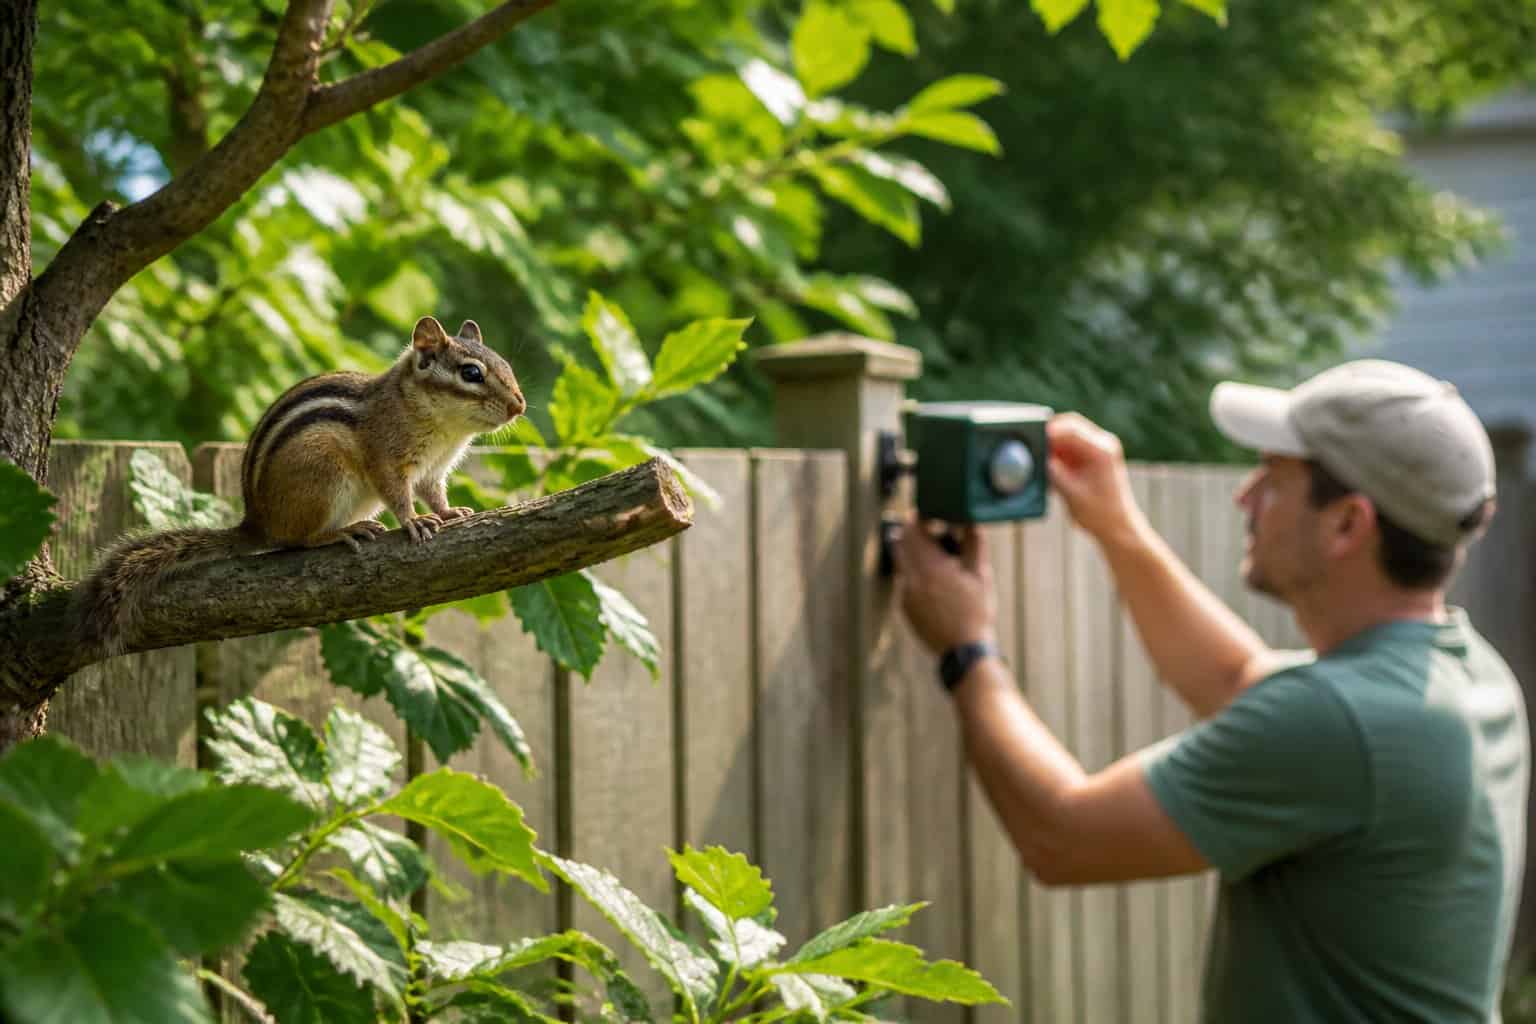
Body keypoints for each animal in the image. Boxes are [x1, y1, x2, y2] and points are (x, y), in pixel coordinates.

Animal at [76, 315, 526, 656]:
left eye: (508, 365)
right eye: (471, 373)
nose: (519, 405)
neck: (442, 425)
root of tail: (257, 522)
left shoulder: (434, 470)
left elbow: (434, 492)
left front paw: (449, 512)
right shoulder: (384, 456)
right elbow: (398, 493)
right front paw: (413, 521)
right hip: (324, 477)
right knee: (296, 540)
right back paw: (339, 532)